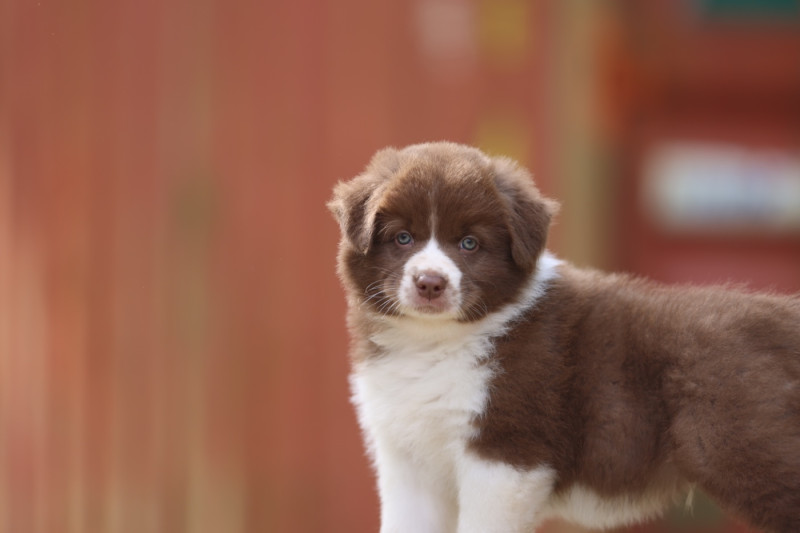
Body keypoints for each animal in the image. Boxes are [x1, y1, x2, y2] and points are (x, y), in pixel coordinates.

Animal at [327, 142, 800, 533]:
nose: (430, 283)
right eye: (402, 238)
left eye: (469, 244)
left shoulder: (506, 452)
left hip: (745, 449)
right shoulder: (407, 460)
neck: (435, 340)